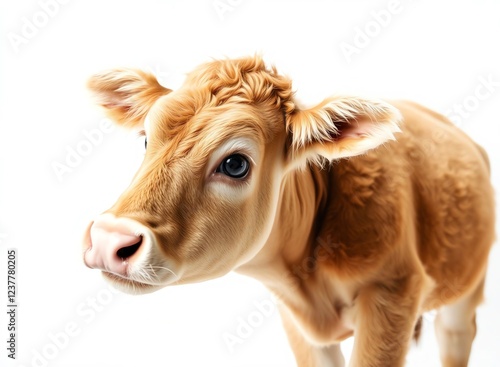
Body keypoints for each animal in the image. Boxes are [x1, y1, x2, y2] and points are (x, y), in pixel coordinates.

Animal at [83, 55, 496, 367]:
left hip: (469, 285)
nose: (108, 240)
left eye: (235, 164)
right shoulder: (296, 321)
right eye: (146, 140)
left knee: (455, 334)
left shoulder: (392, 294)